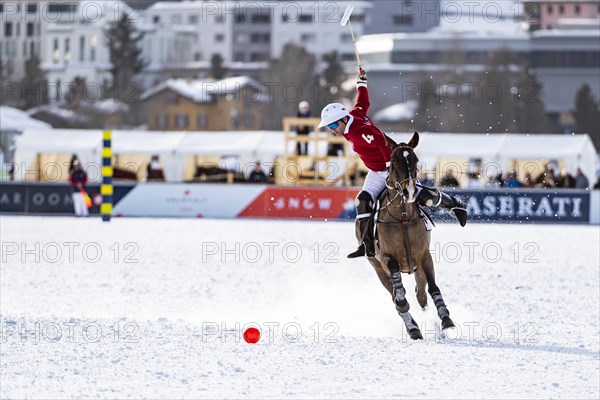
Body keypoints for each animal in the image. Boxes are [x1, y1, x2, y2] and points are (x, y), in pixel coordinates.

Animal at [360, 133, 454, 340]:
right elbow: (399, 296)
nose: (409, 191)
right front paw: (411, 322)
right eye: (394, 161)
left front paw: (446, 320)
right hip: (377, 268)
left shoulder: (424, 255)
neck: (402, 217)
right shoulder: (386, 258)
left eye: (415, 160)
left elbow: (433, 288)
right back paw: (413, 328)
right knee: (396, 296)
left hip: (416, 268)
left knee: (421, 294)